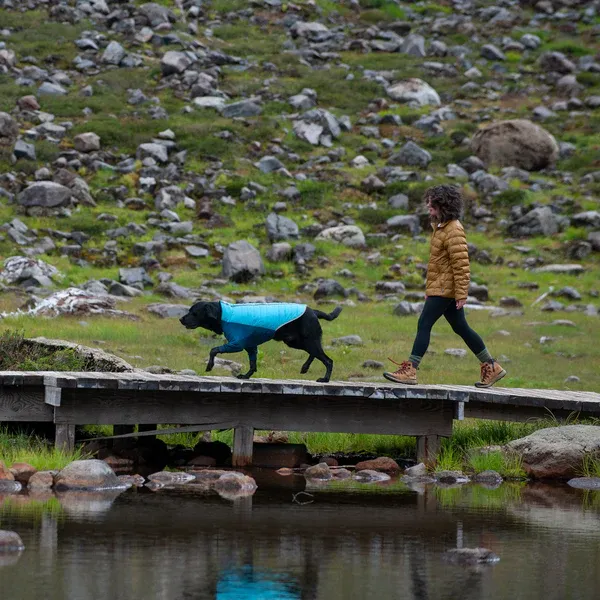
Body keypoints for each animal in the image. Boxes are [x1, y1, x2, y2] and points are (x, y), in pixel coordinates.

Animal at [179, 302, 342, 382]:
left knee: (328, 360)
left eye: (194, 312)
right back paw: (305, 367)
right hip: (296, 342)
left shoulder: (237, 344)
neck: (224, 313)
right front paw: (246, 376)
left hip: (307, 341)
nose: (181, 319)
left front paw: (209, 366)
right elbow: (253, 364)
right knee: (315, 354)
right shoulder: (251, 346)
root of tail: (313, 311)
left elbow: (213, 350)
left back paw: (325, 379)